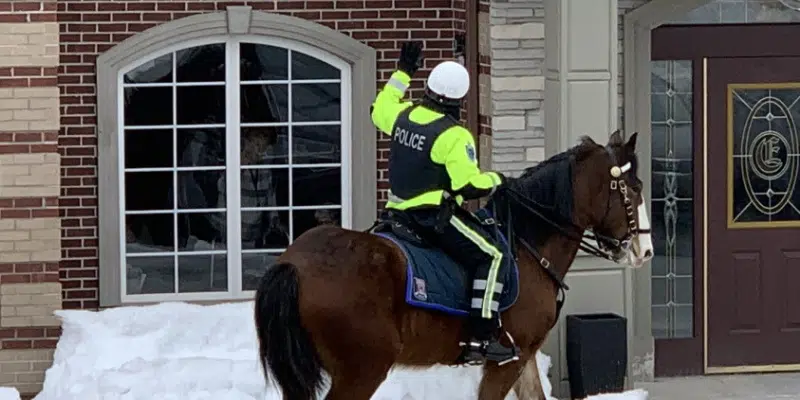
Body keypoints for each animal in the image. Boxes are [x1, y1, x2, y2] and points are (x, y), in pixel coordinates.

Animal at [253, 130, 652, 398]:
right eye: (634, 188)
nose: (644, 250)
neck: (528, 243)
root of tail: (293, 265)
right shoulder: (507, 360)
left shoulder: (524, 357)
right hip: (363, 370)